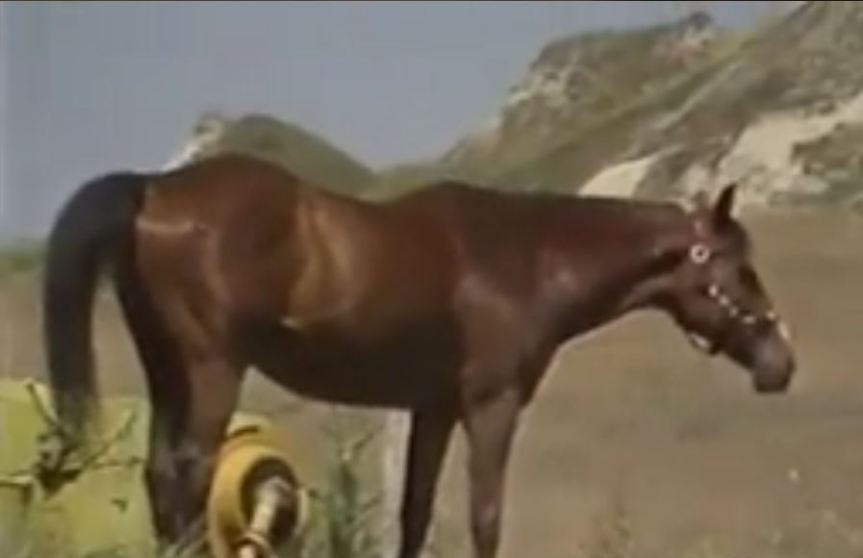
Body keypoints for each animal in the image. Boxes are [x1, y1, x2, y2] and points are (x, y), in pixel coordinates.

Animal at [42, 153, 795, 558]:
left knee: (161, 482)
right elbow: (485, 517)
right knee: (187, 481)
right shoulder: (491, 407)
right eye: (741, 268)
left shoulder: (431, 412)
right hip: (210, 374)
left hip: (168, 373)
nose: (780, 362)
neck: (527, 259)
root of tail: (155, 187)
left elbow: (416, 511)